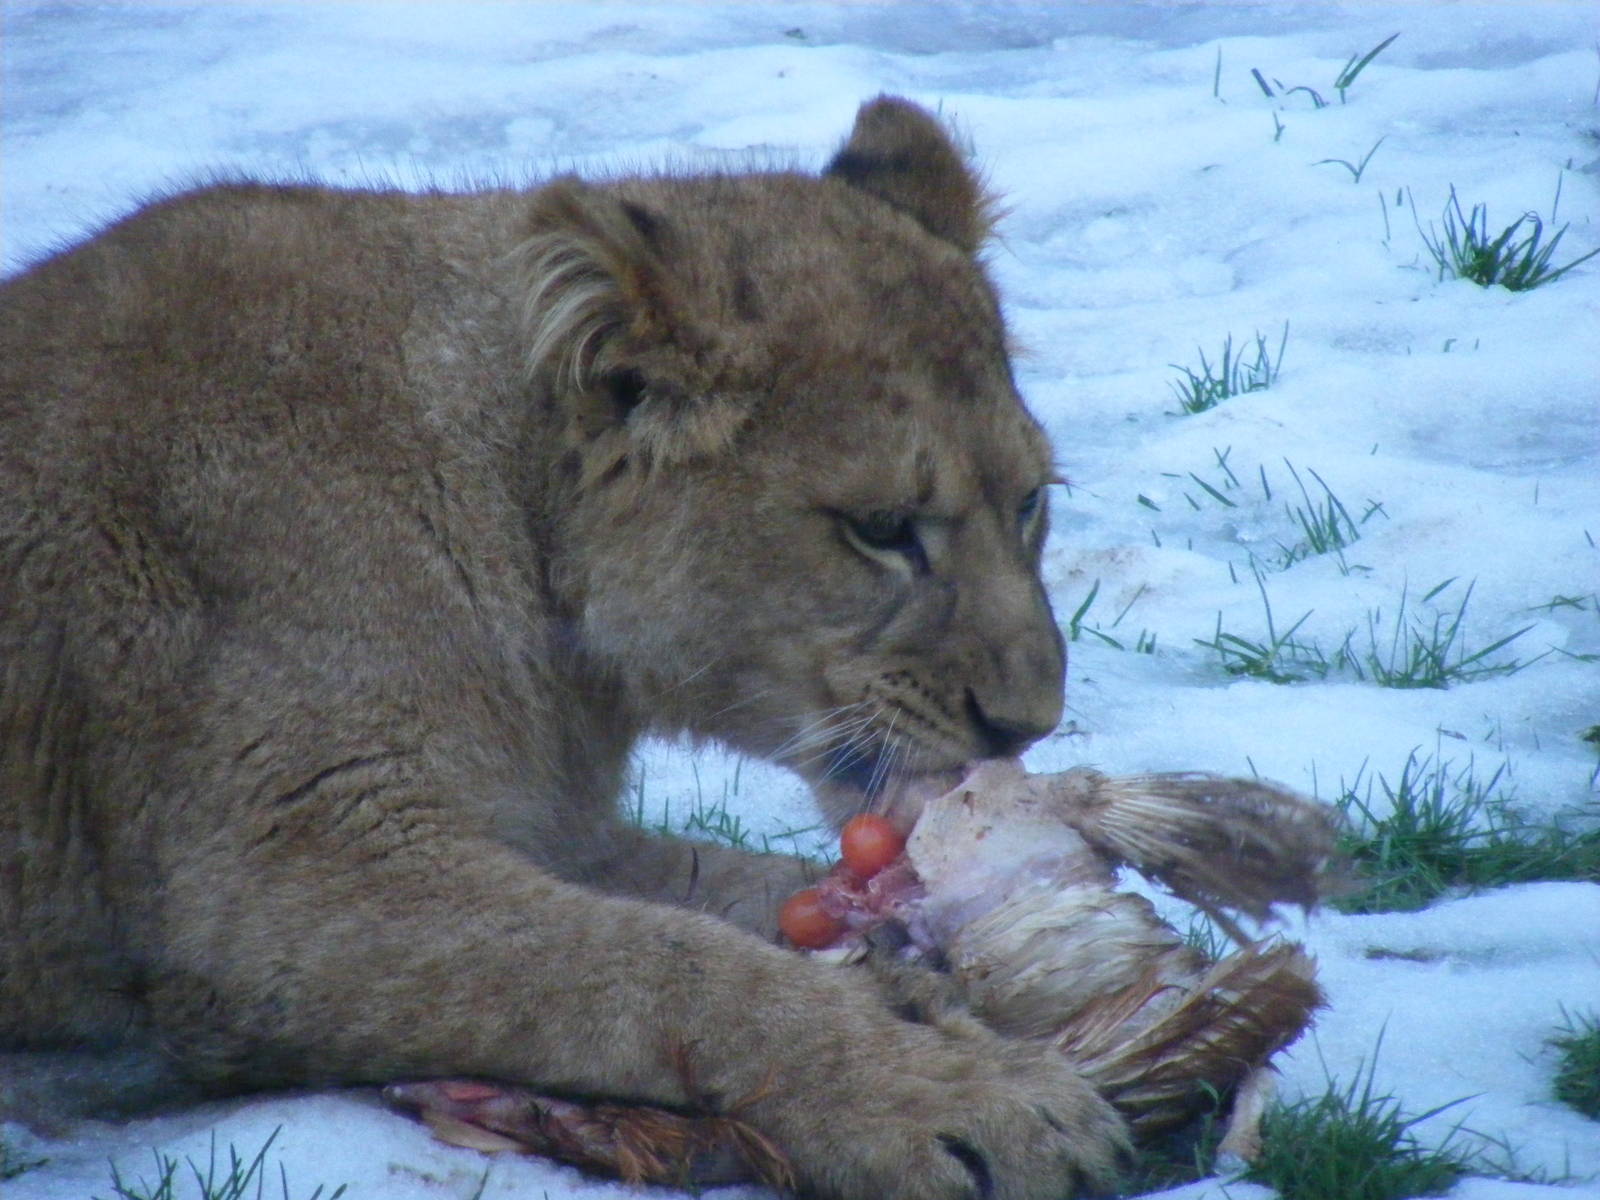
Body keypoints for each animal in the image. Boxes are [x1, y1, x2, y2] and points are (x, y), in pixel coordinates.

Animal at [0, 97, 1128, 1198]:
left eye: (1029, 502)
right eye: (882, 528)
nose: (1027, 726)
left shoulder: (551, 829)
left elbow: (740, 889)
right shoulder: (273, 879)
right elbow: (665, 962)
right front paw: (953, 1097)